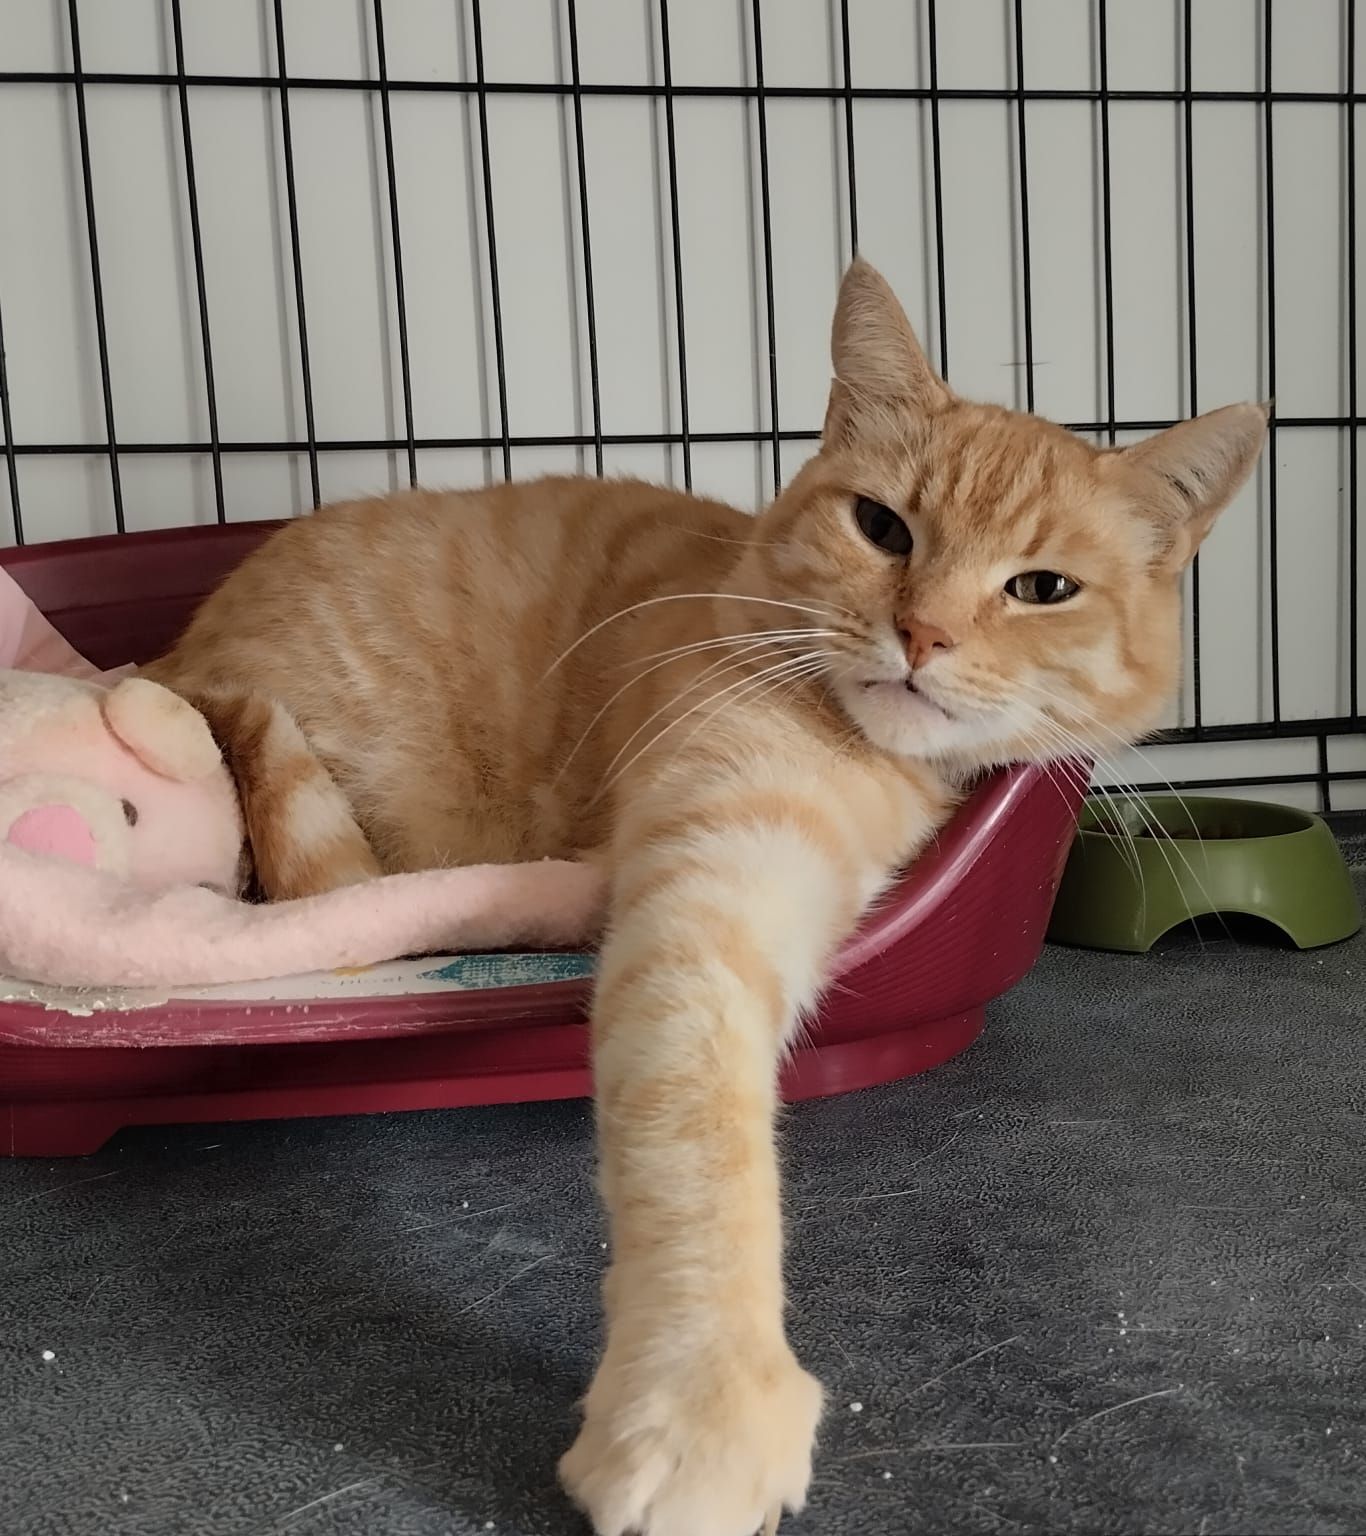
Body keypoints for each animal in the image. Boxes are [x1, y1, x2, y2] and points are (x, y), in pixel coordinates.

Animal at [144, 260, 1266, 1536]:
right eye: (882, 526)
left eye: (1041, 589)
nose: (922, 633)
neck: (866, 756)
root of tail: (177, 654)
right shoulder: (709, 891)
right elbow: (697, 1146)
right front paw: (696, 1406)